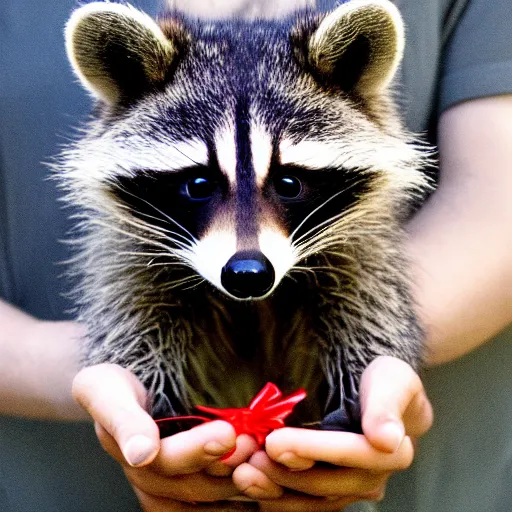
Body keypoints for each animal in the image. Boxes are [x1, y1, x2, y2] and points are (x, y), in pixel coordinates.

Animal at [59, 0, 432, 432]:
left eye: (289, 183)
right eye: (199, 184)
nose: (247, 273)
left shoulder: (361, 235)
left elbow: (369, 302)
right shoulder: (129, 245)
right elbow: (131, 311)